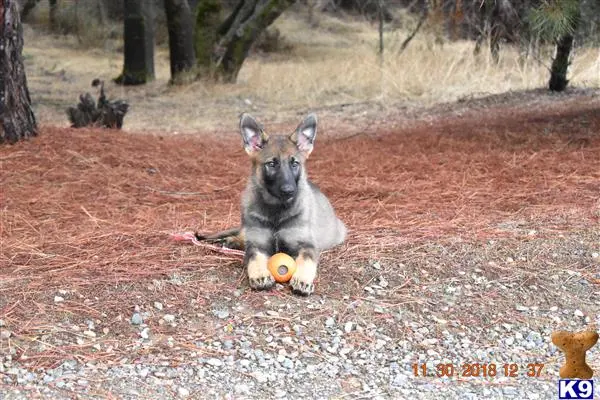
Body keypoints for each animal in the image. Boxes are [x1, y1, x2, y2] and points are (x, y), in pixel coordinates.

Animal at [202, 114, 344, 296]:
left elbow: (306, 259)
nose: (289, 190)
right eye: (272, 164)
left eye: (294, 163)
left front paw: (302, 280)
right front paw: (260, 275)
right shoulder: (257, 243)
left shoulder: (307, 245)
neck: (277, 209)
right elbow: (254, 256)